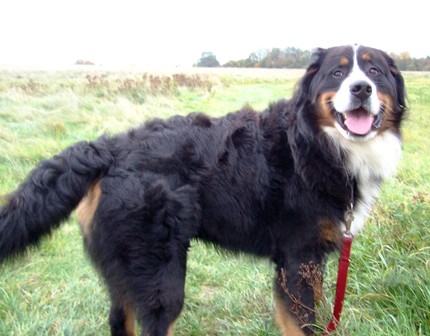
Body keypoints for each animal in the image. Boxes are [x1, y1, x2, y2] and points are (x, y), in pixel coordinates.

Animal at [0, 45, 406, 336]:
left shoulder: (311, 262)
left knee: (119, 320)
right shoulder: (298, 260)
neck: (316, 142)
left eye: (374, 71)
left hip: (124, 271)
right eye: (337, 72)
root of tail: (108, 147)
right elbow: (305, 325)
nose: (361, 88)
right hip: (161, 279)